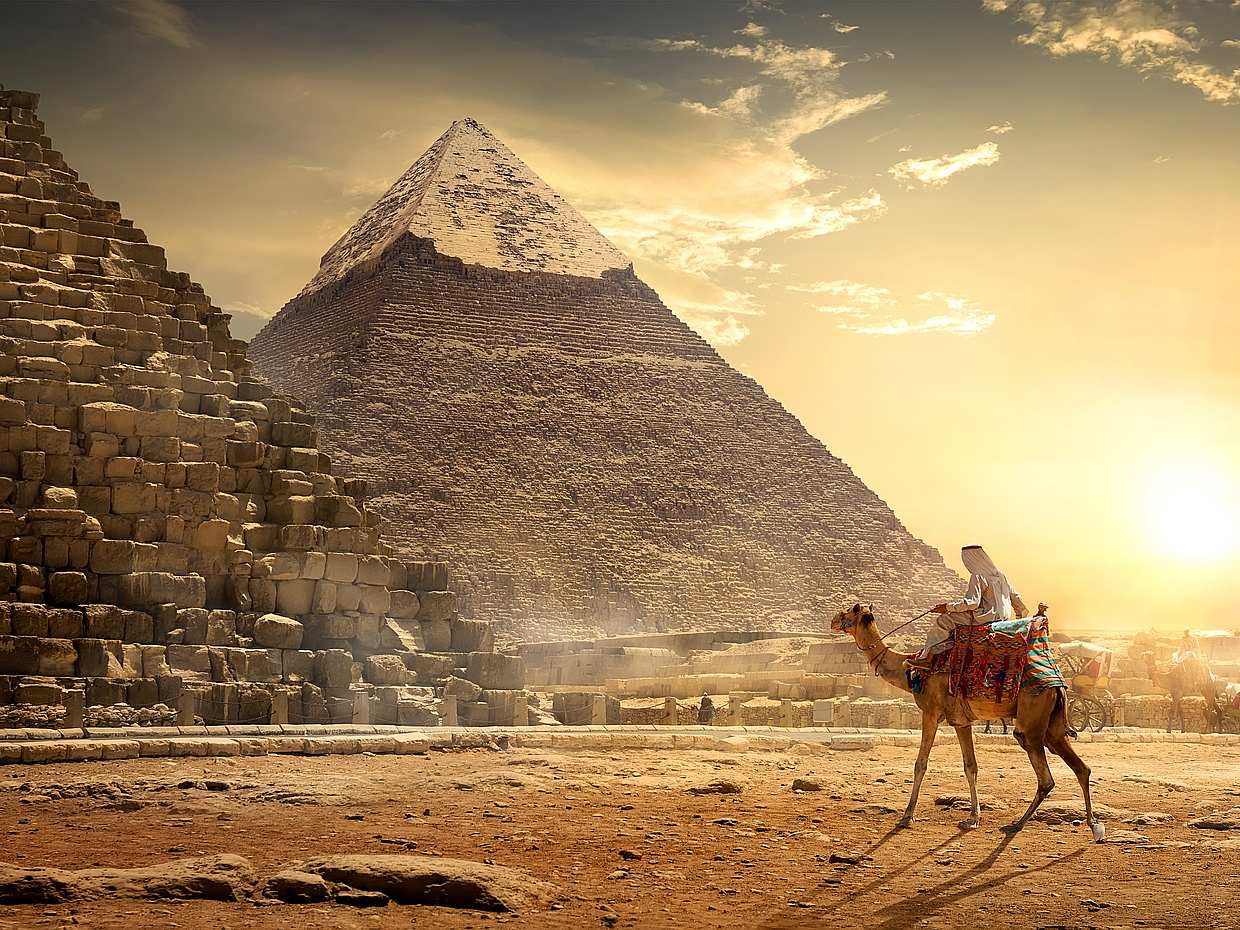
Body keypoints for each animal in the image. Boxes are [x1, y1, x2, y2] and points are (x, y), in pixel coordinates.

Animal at [831, 603, 1104, 841]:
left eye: (849, 611)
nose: (833, 620)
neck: (908, 670)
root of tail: (1058, 683)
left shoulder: (930, 712)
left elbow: (921, 764)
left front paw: (907, 816)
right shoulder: (961, 722)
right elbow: (970, 766)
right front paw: (973, 817)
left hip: (1032, 719)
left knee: (1044, 775)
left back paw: (1017, 823)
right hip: (1052, 726)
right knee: (1081, 768)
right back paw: (1093, 825)